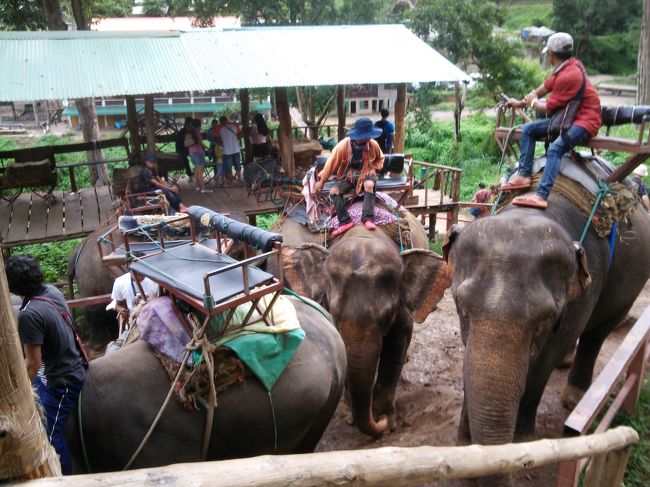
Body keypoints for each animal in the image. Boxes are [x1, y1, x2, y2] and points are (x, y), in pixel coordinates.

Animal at [270, 214, 448, 438]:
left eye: (386, 315)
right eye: (333, 312)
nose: (378, 421)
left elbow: (396, 348)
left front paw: (387, 423)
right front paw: (350, 416)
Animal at [440, 193, 648, 486]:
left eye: (547, 317)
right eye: (461, 304)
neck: (529, 212)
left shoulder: (585, 289)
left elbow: (544, 362)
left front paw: (522, 441)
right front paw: (464, 445)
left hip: (628, 291)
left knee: (597, 333)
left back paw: (573, 398)